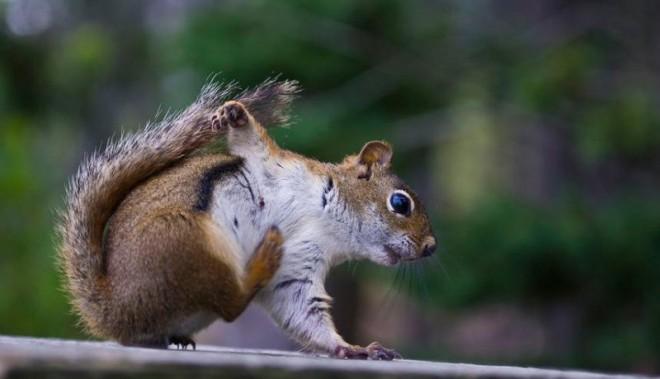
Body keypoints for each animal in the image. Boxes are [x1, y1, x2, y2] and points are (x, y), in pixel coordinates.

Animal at [58, 78, 438, 360]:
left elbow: (302, 310)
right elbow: (252, 141)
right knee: (229, 302)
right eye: (400, 203)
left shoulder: (298, 269)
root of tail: (113, 309)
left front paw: (352, 348)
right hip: (184, 238)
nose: (431, 247)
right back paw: (264, 255)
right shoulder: (275, 165)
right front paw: (235, 114)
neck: (327, 221)